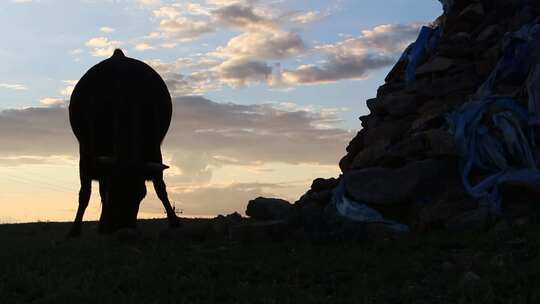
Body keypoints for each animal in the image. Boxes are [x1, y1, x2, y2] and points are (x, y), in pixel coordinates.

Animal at [67, 48, 179, 236]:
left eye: (141, 194)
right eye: (114, 191)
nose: (122, 227)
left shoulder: (154, 149)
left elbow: (160, 187)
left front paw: (174, 221)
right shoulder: (87, 154)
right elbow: (86, 193)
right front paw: (75, 229)